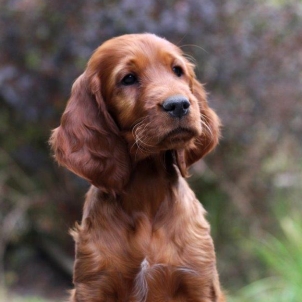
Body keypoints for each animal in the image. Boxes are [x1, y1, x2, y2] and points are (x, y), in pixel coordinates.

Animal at [50, 33, 224, 302]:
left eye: (177, 71)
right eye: (128, 79)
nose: (179, 104)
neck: (146, 192)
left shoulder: (199, 281)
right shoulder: (94, 285)